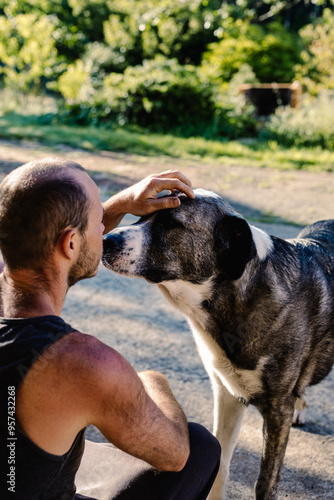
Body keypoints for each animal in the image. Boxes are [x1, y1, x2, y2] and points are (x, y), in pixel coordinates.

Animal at [102, 189, 334, 498]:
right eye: (140, 216)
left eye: (170, 224)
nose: (105, 240)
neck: (239, 295)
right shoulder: (228, 394)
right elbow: (220, 462)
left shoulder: (277, 411)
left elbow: (265, 482)